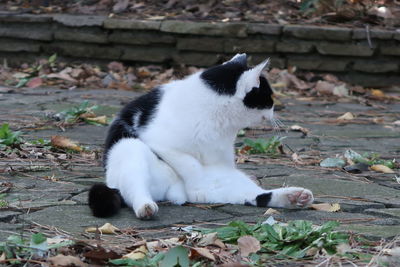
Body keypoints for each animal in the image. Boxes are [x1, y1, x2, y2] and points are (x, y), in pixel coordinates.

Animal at [89, 54, 314, 220]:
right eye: (269, 97)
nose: (275, 110)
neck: (219, 116)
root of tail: (170, 191)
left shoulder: (221, 161)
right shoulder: (161, 143)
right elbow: (190, 164)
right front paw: (195, 179)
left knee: (253, 195)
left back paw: (293, 197)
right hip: (130, 149)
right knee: (135, 188)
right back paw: (146, 206)